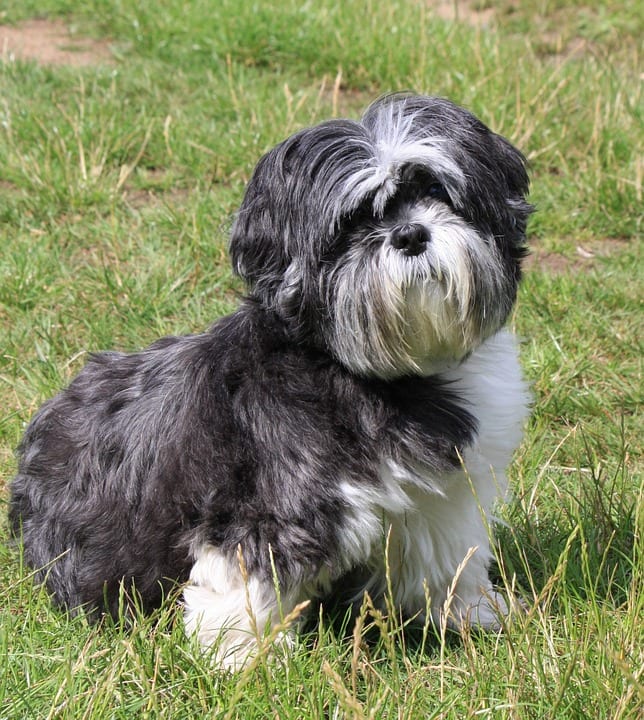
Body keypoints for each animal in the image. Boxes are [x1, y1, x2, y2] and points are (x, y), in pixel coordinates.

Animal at [10, 94, 532, 668]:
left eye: (434, 190)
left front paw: (469, 615)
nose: (410, 234)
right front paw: (245, 660)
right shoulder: (268, 500)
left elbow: (444, 558)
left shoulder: (441, 497)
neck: (376, 374)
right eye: (351, 222)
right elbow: (246, 575)